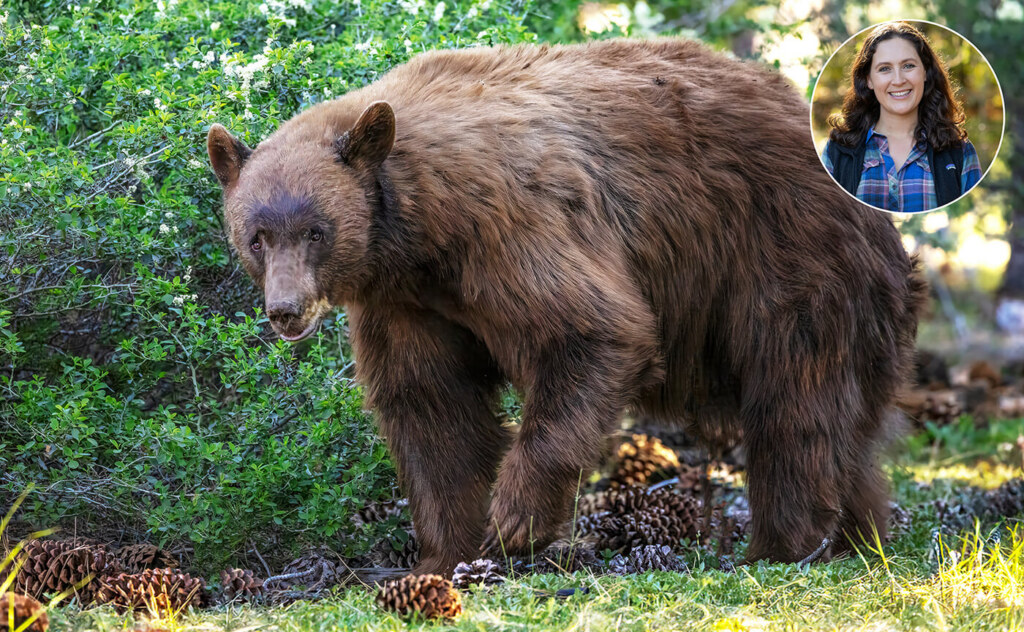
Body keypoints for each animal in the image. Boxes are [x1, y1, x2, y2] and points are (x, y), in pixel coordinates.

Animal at [207, 38, 926, 575]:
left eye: (315, 231)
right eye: (256, 235)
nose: (286, 310)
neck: (418, 229)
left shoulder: (509, 224)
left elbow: (591, 332)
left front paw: (513, 521)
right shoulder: (407, 301)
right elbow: (430, 404)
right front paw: (445, 556)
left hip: (788, 259)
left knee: (795, 397)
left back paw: (783, 543)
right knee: (847, 426)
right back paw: (859, 532)